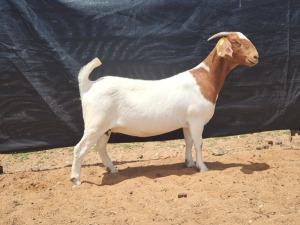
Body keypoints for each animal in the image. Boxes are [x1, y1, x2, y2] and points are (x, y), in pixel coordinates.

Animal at [69, 31, 258, 186]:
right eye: (236, 42)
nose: (256, 56)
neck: (205, 78)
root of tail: (88, 85)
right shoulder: (196, 120)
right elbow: (199, 143)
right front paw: (202, 167)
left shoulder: (187, 123)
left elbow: (188, 142)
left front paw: (190, 163)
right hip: (95, 124)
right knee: (79, 148)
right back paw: (76, 179)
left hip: (105, 127)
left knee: (100, 147)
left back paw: (113, 169)